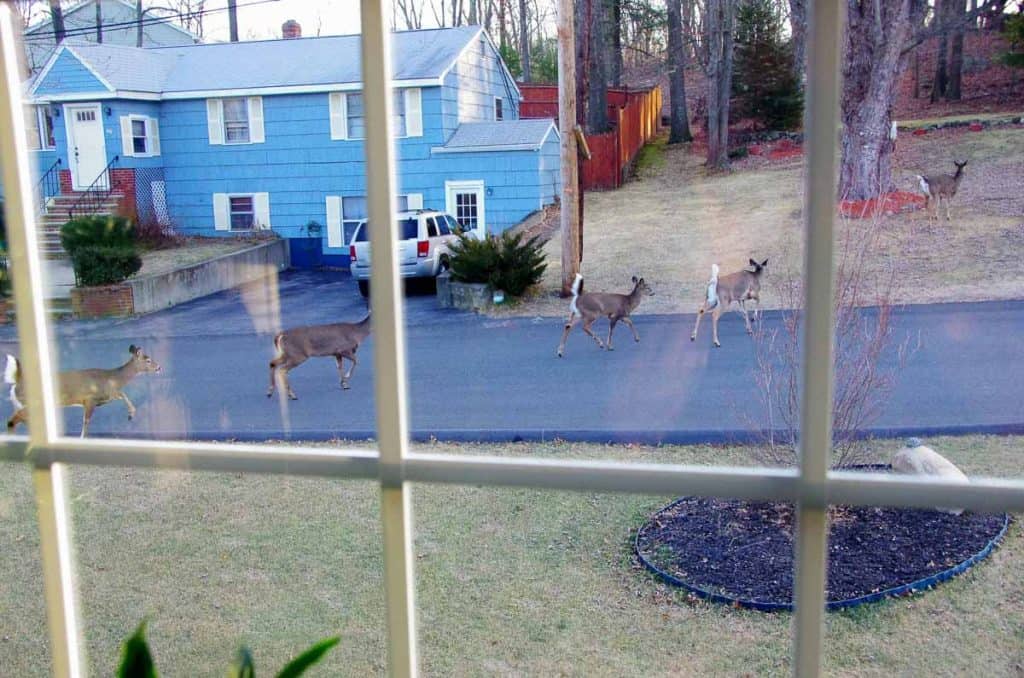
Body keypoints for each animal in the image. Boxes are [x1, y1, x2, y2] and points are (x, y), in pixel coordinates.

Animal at [4, 346, 161, 440]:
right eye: (148, 360)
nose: (159, 367)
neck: (112, 378)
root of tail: (17, 381)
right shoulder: (90, 399)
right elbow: (86, 421)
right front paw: (81, 438)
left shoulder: (106, 396)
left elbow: (122, 394)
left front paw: (131, 414)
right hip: (30, 404)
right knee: (13, 420)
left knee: (18, 420)